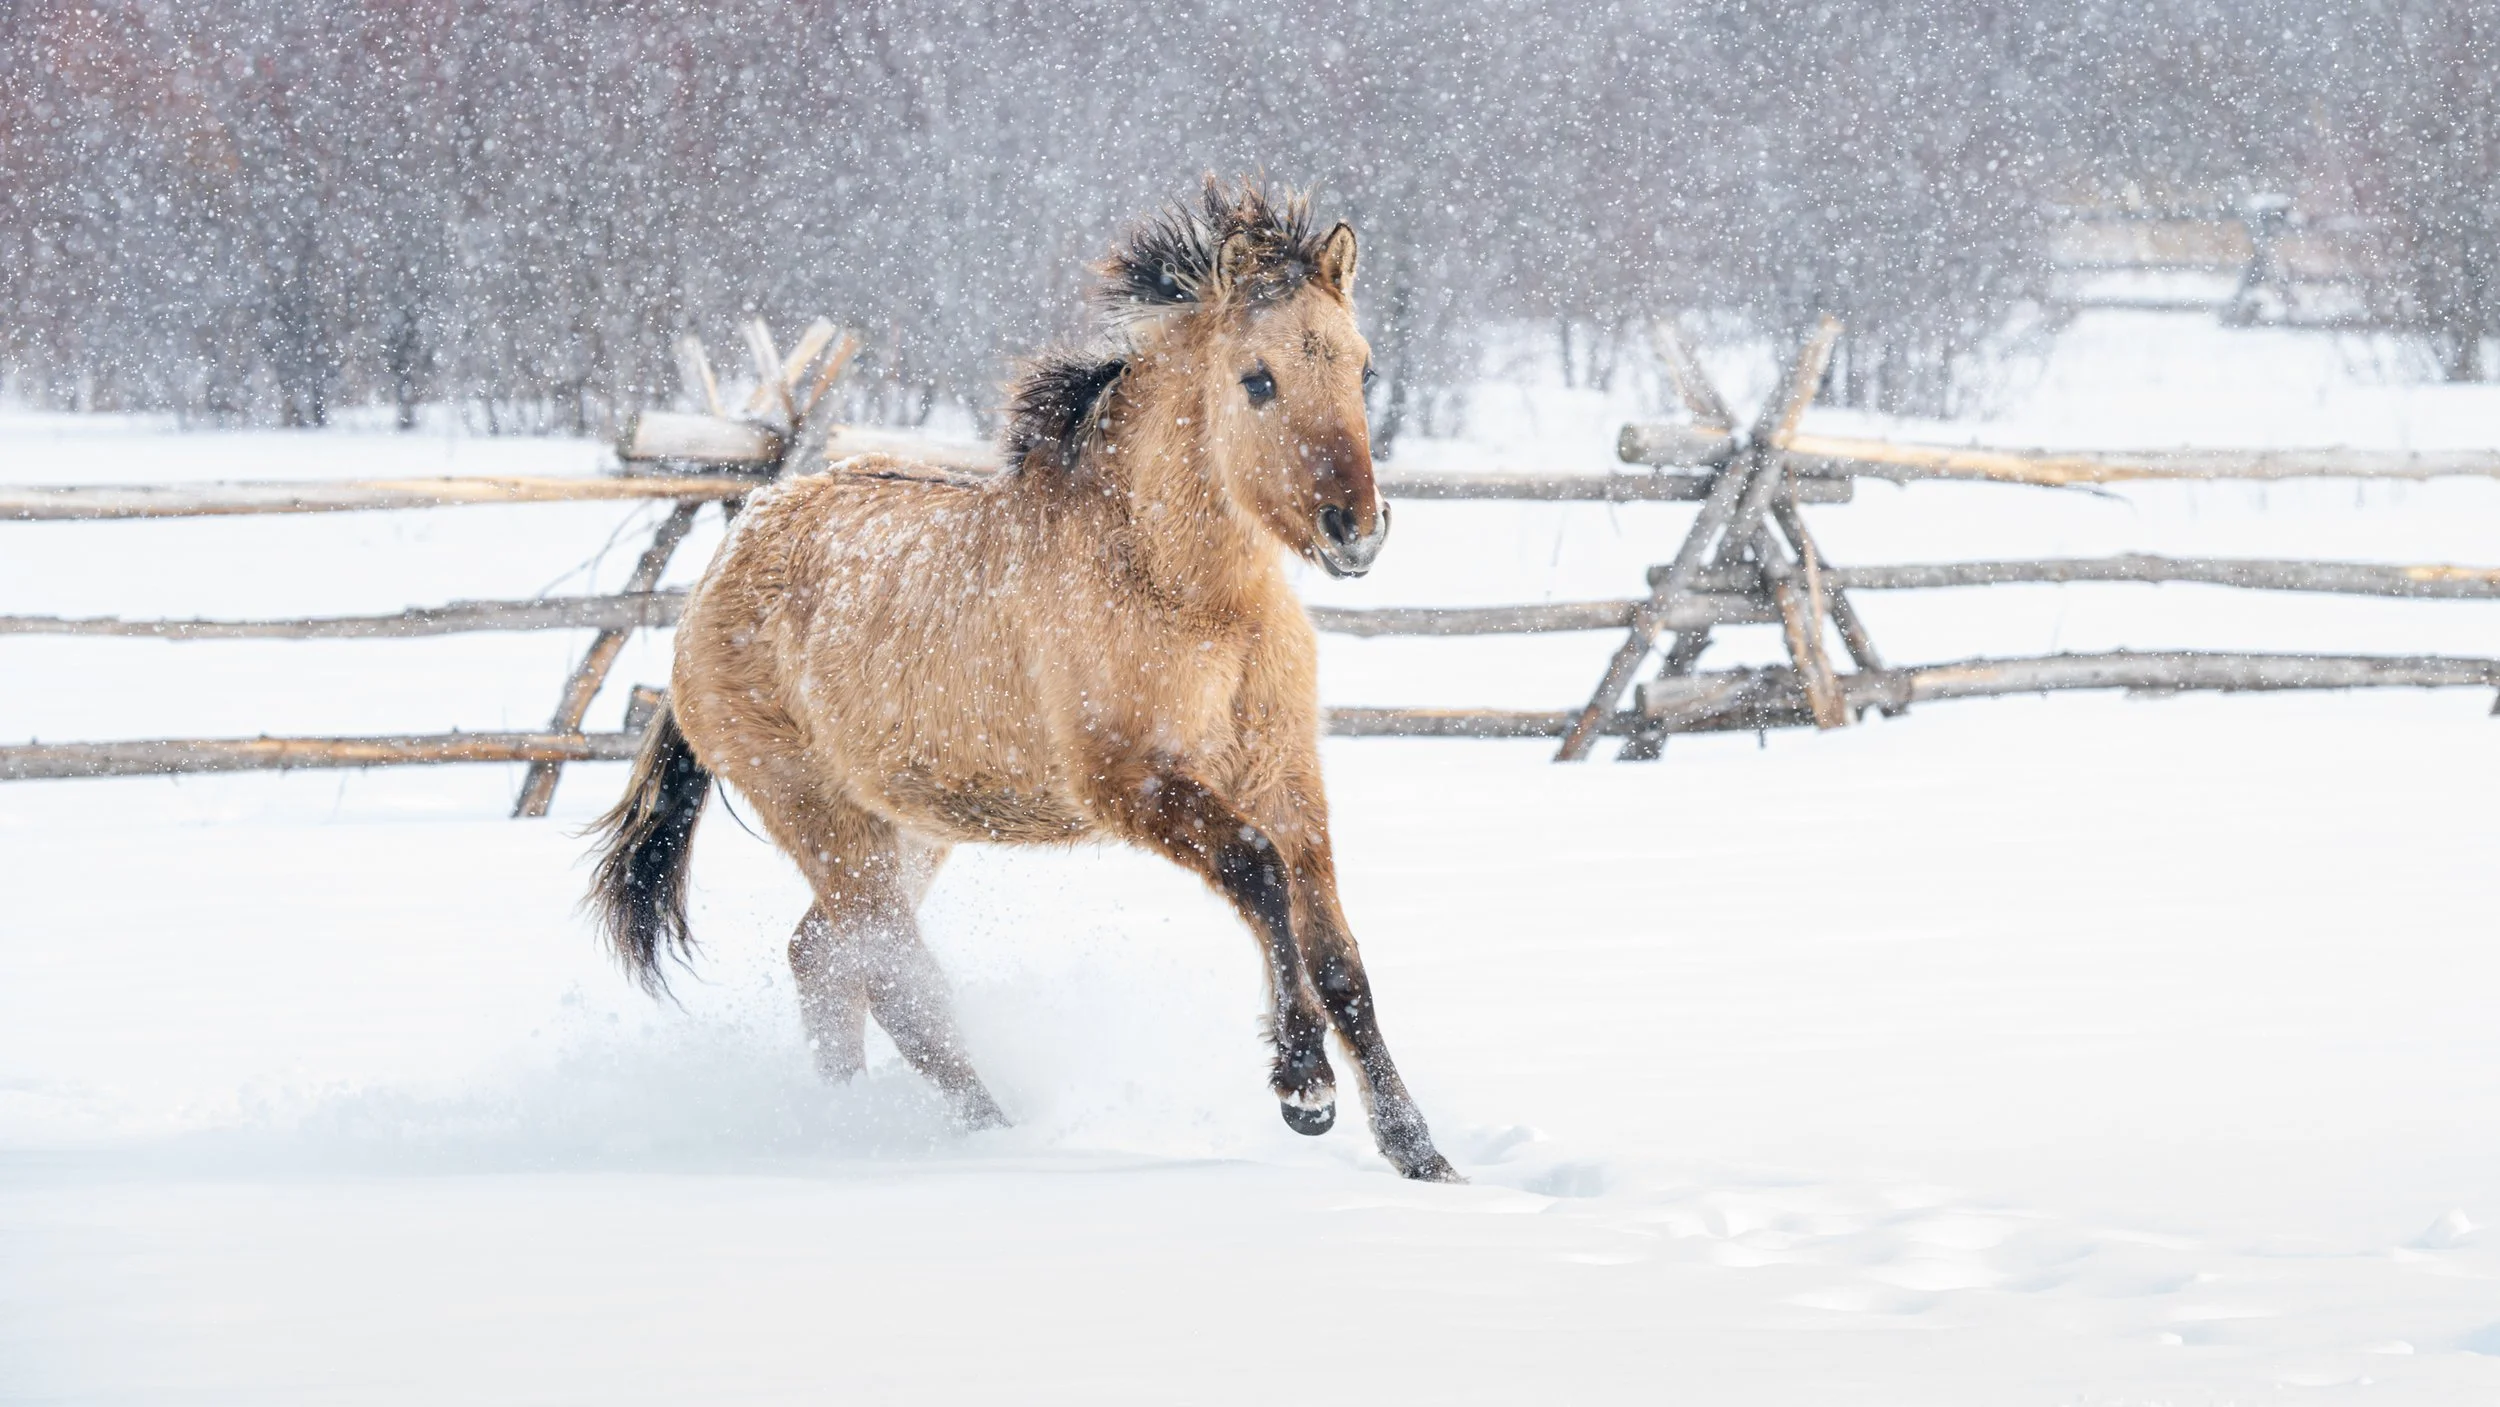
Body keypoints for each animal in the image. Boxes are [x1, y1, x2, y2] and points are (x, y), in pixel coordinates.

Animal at [586, 179, 1458, 1182]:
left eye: (1362, 368)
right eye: (1258, 378)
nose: (1357, 528)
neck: (1188, 595)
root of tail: (720, 567)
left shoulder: (1285, 775)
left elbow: (1342, 961)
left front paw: (1423, 1156)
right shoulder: (1131, 782)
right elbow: (1258, 872)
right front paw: (1303, 1087)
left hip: (905, 829)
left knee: (824, 960)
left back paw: (848, 1115)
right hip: (824, 820)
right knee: (898, 983)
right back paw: (993, 1136)